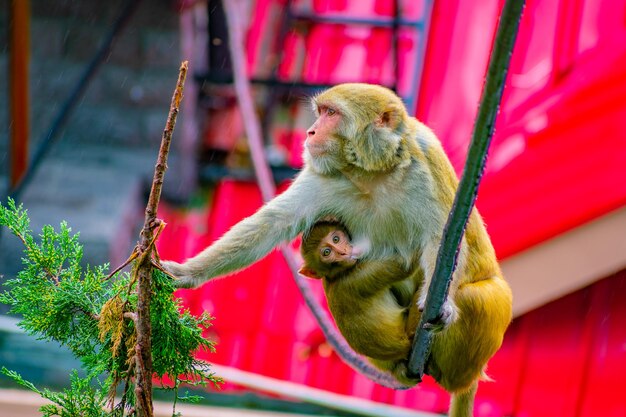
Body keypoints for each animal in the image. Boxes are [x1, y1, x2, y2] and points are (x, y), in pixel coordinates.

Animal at [298, 221, 420, 384]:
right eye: (326, 252)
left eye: (336, 239)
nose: (342, 252)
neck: (335, 276)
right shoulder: (360, 275)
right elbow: (406, 264)